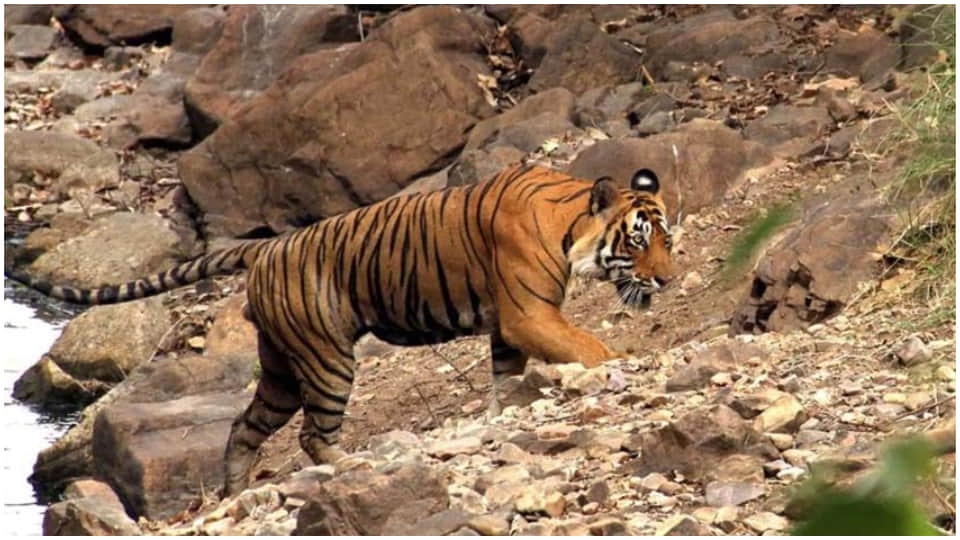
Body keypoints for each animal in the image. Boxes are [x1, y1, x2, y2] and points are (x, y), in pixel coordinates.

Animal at [7, 163, 674, 495]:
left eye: (667, 238)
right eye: (638, 240)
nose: (668, 279)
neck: (570, 226)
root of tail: (264, 248)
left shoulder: (510, 329)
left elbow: (505, 383)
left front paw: (504, 414)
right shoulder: (526, 313)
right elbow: (588, 345)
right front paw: (613, 365)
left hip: (279, 369)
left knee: (245, 427)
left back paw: (233, 492)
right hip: (327, 359)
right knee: (312, 436)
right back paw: (353, 463)